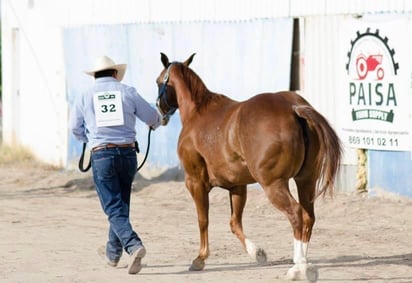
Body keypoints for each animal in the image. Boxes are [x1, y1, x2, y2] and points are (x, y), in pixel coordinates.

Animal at [154, 53, 342, 282]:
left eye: (158, 81)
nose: (160, 110)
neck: (198, 114)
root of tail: (293, 108)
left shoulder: (195, 182)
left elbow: (203, 220)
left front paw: (199, 259)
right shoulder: (237, 186)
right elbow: (234, 223)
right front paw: (258, 253)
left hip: (274, 185)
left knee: (296, 215)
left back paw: (299, 268)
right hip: (305, 181)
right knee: (308, 217)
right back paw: (305, 266)